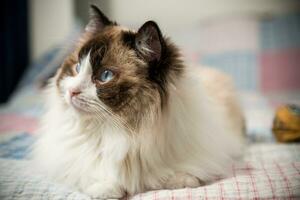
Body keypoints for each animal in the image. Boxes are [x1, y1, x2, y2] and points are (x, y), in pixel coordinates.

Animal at [31, 4, 245, 198]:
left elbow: (184, 175)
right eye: (77, 67)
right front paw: (107, 189)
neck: (124, 132)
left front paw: (179, 180)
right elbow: (92, 174)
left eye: (105, 76)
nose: (72, 92)